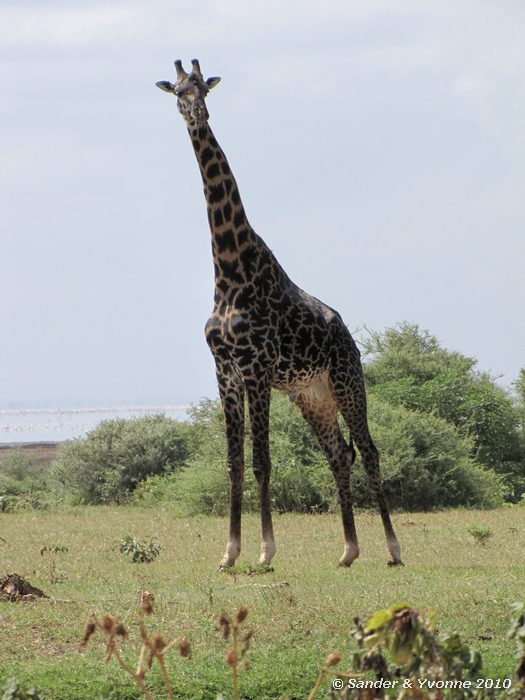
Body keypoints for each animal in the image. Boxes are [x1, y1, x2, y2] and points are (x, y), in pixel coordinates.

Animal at [156, 59, 402, 569]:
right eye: (179, 92)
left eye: (205, 88)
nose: (197, 115)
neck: (229, 270)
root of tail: (348, 335)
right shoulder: (225, 373)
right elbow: (233, 462)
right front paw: (228, 553)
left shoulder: (256, 370)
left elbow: (261, 461)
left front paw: (266, 551)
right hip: (312, 395)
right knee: (339, 454)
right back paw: (348, 551)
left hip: (348, 380)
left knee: (369, 451)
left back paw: (392, 550)